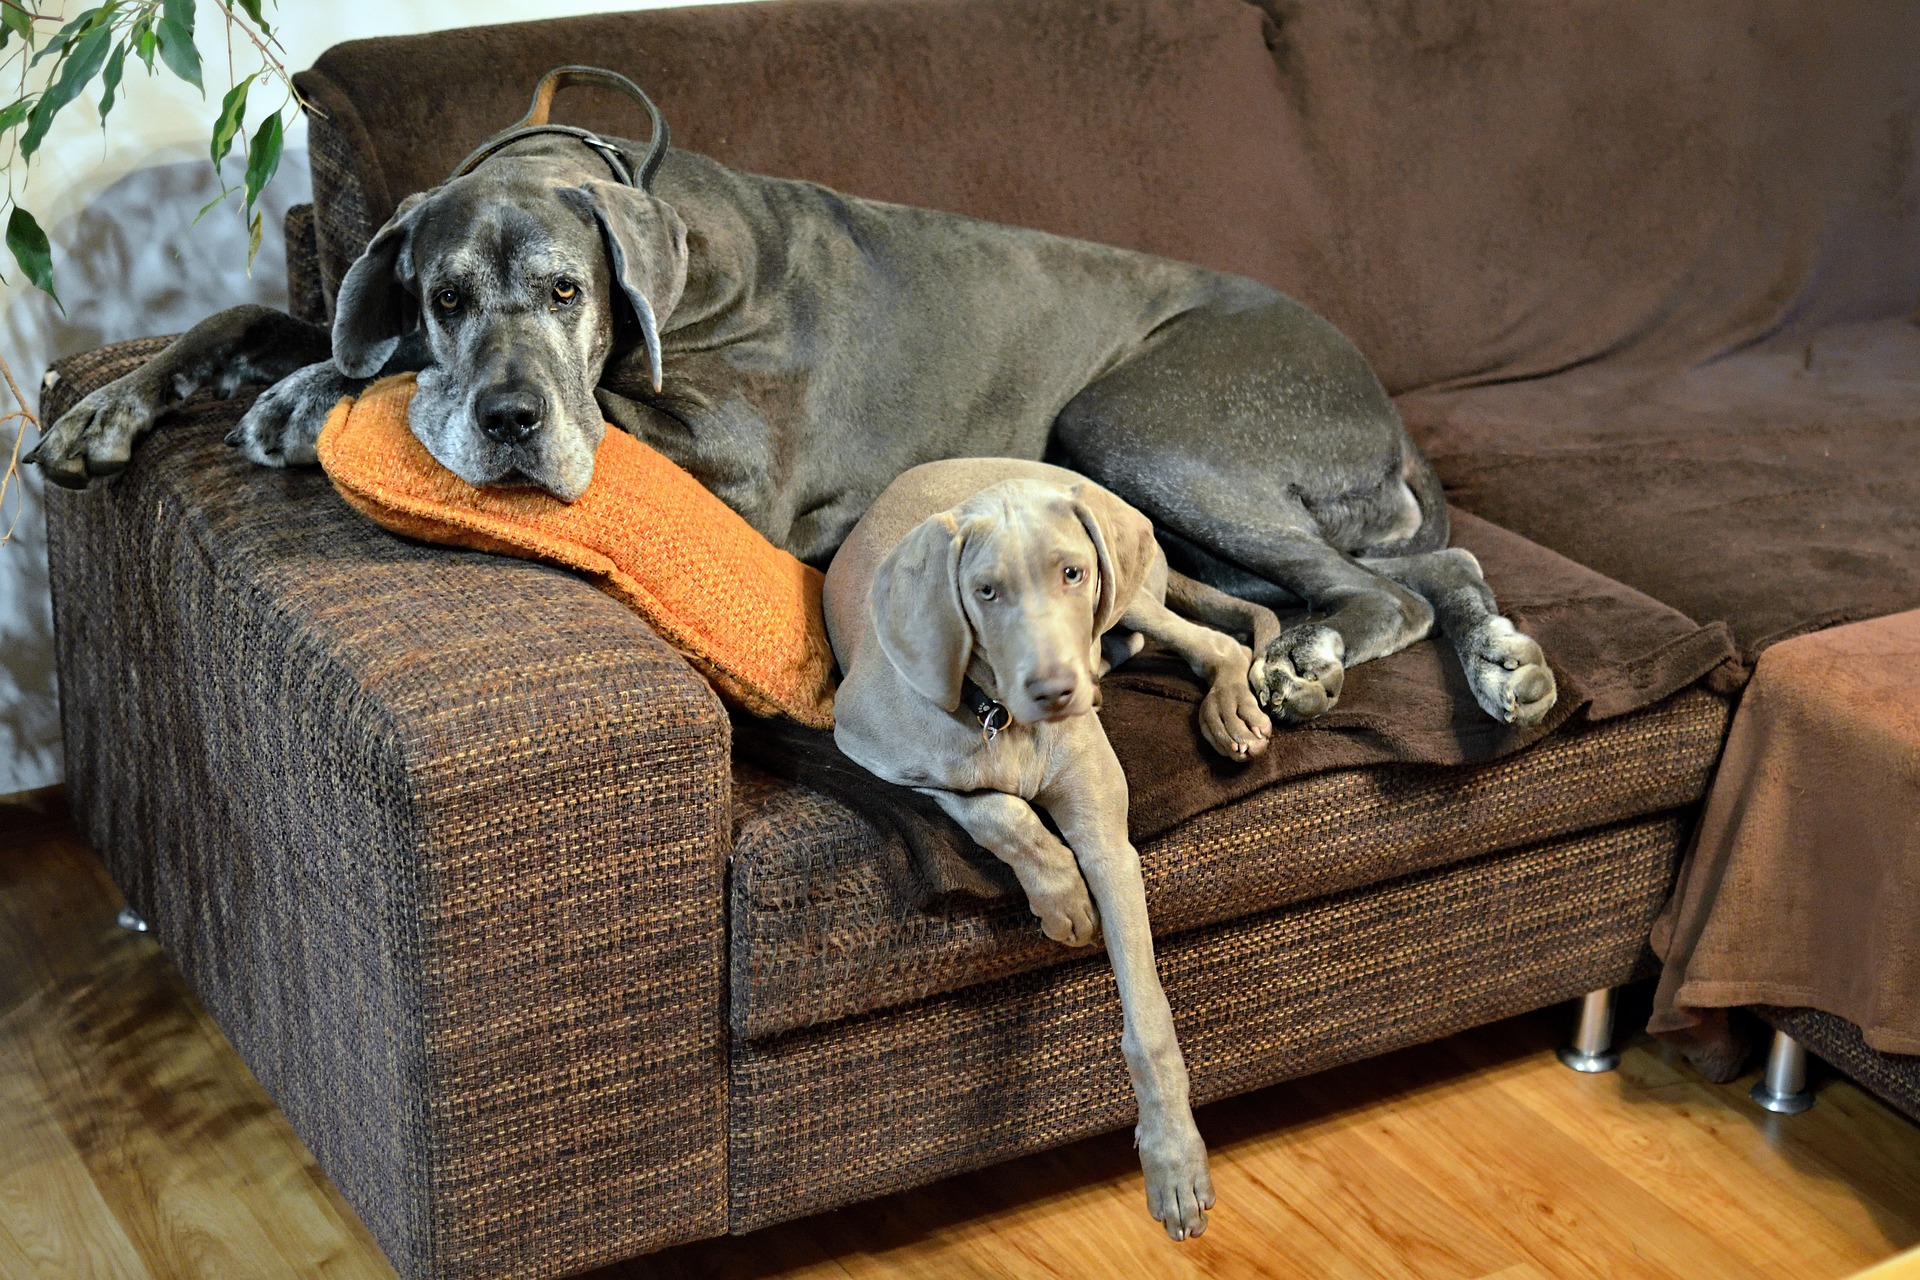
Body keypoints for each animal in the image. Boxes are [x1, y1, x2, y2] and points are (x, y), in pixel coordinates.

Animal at [30, 67, 1559, 729]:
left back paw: (1327, 662)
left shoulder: (739, 465)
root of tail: (1379, 395)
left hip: (1137, 423)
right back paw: (1501, 665)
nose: (513, 423)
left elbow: (367, 369)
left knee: (1384, 587)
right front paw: (101, 416)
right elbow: (258, 314)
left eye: (569, 295)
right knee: (1431, 567)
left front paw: (300, 406)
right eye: (450, 296)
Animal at [821, 458, 1282, 1243]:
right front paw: (1062, 897)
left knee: (1215, 644)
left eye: (1071, 571)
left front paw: (1174, 1162)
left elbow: (1148, 1019)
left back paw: (1228, 709)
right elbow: (994, 808)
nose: (1056, 690)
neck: (1005, 720)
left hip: (1130, 599)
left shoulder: (1110, 843)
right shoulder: (868, 746)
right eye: (985, 591)